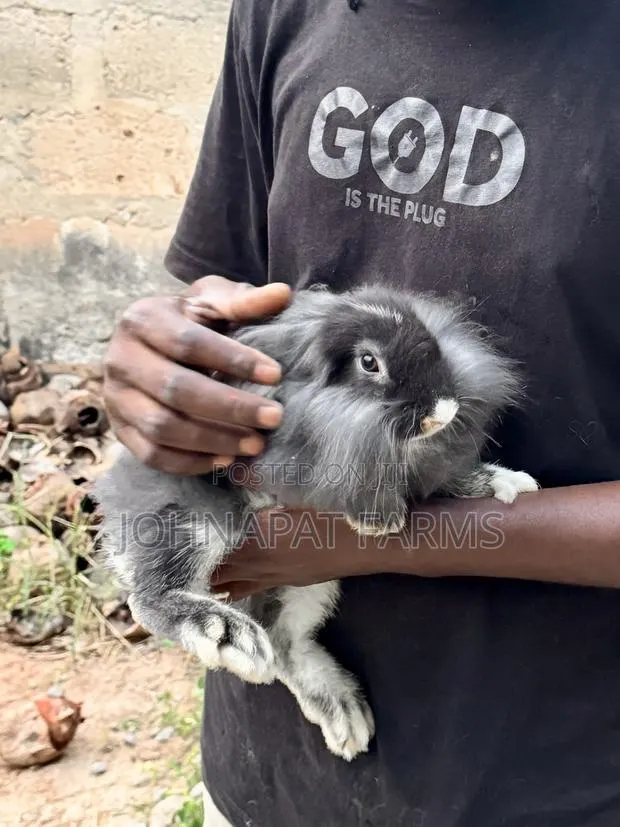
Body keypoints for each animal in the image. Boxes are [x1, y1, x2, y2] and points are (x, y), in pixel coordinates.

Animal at [92, 284, 539, 761]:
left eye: (431, 341)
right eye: (369, 362)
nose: (444, 411)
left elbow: (444, 481)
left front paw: (504, 482)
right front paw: (379, 521)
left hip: (308, 586)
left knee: (284, 645)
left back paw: (343, 711)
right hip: (192, 520)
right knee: (149, 598)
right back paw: (226, 634)